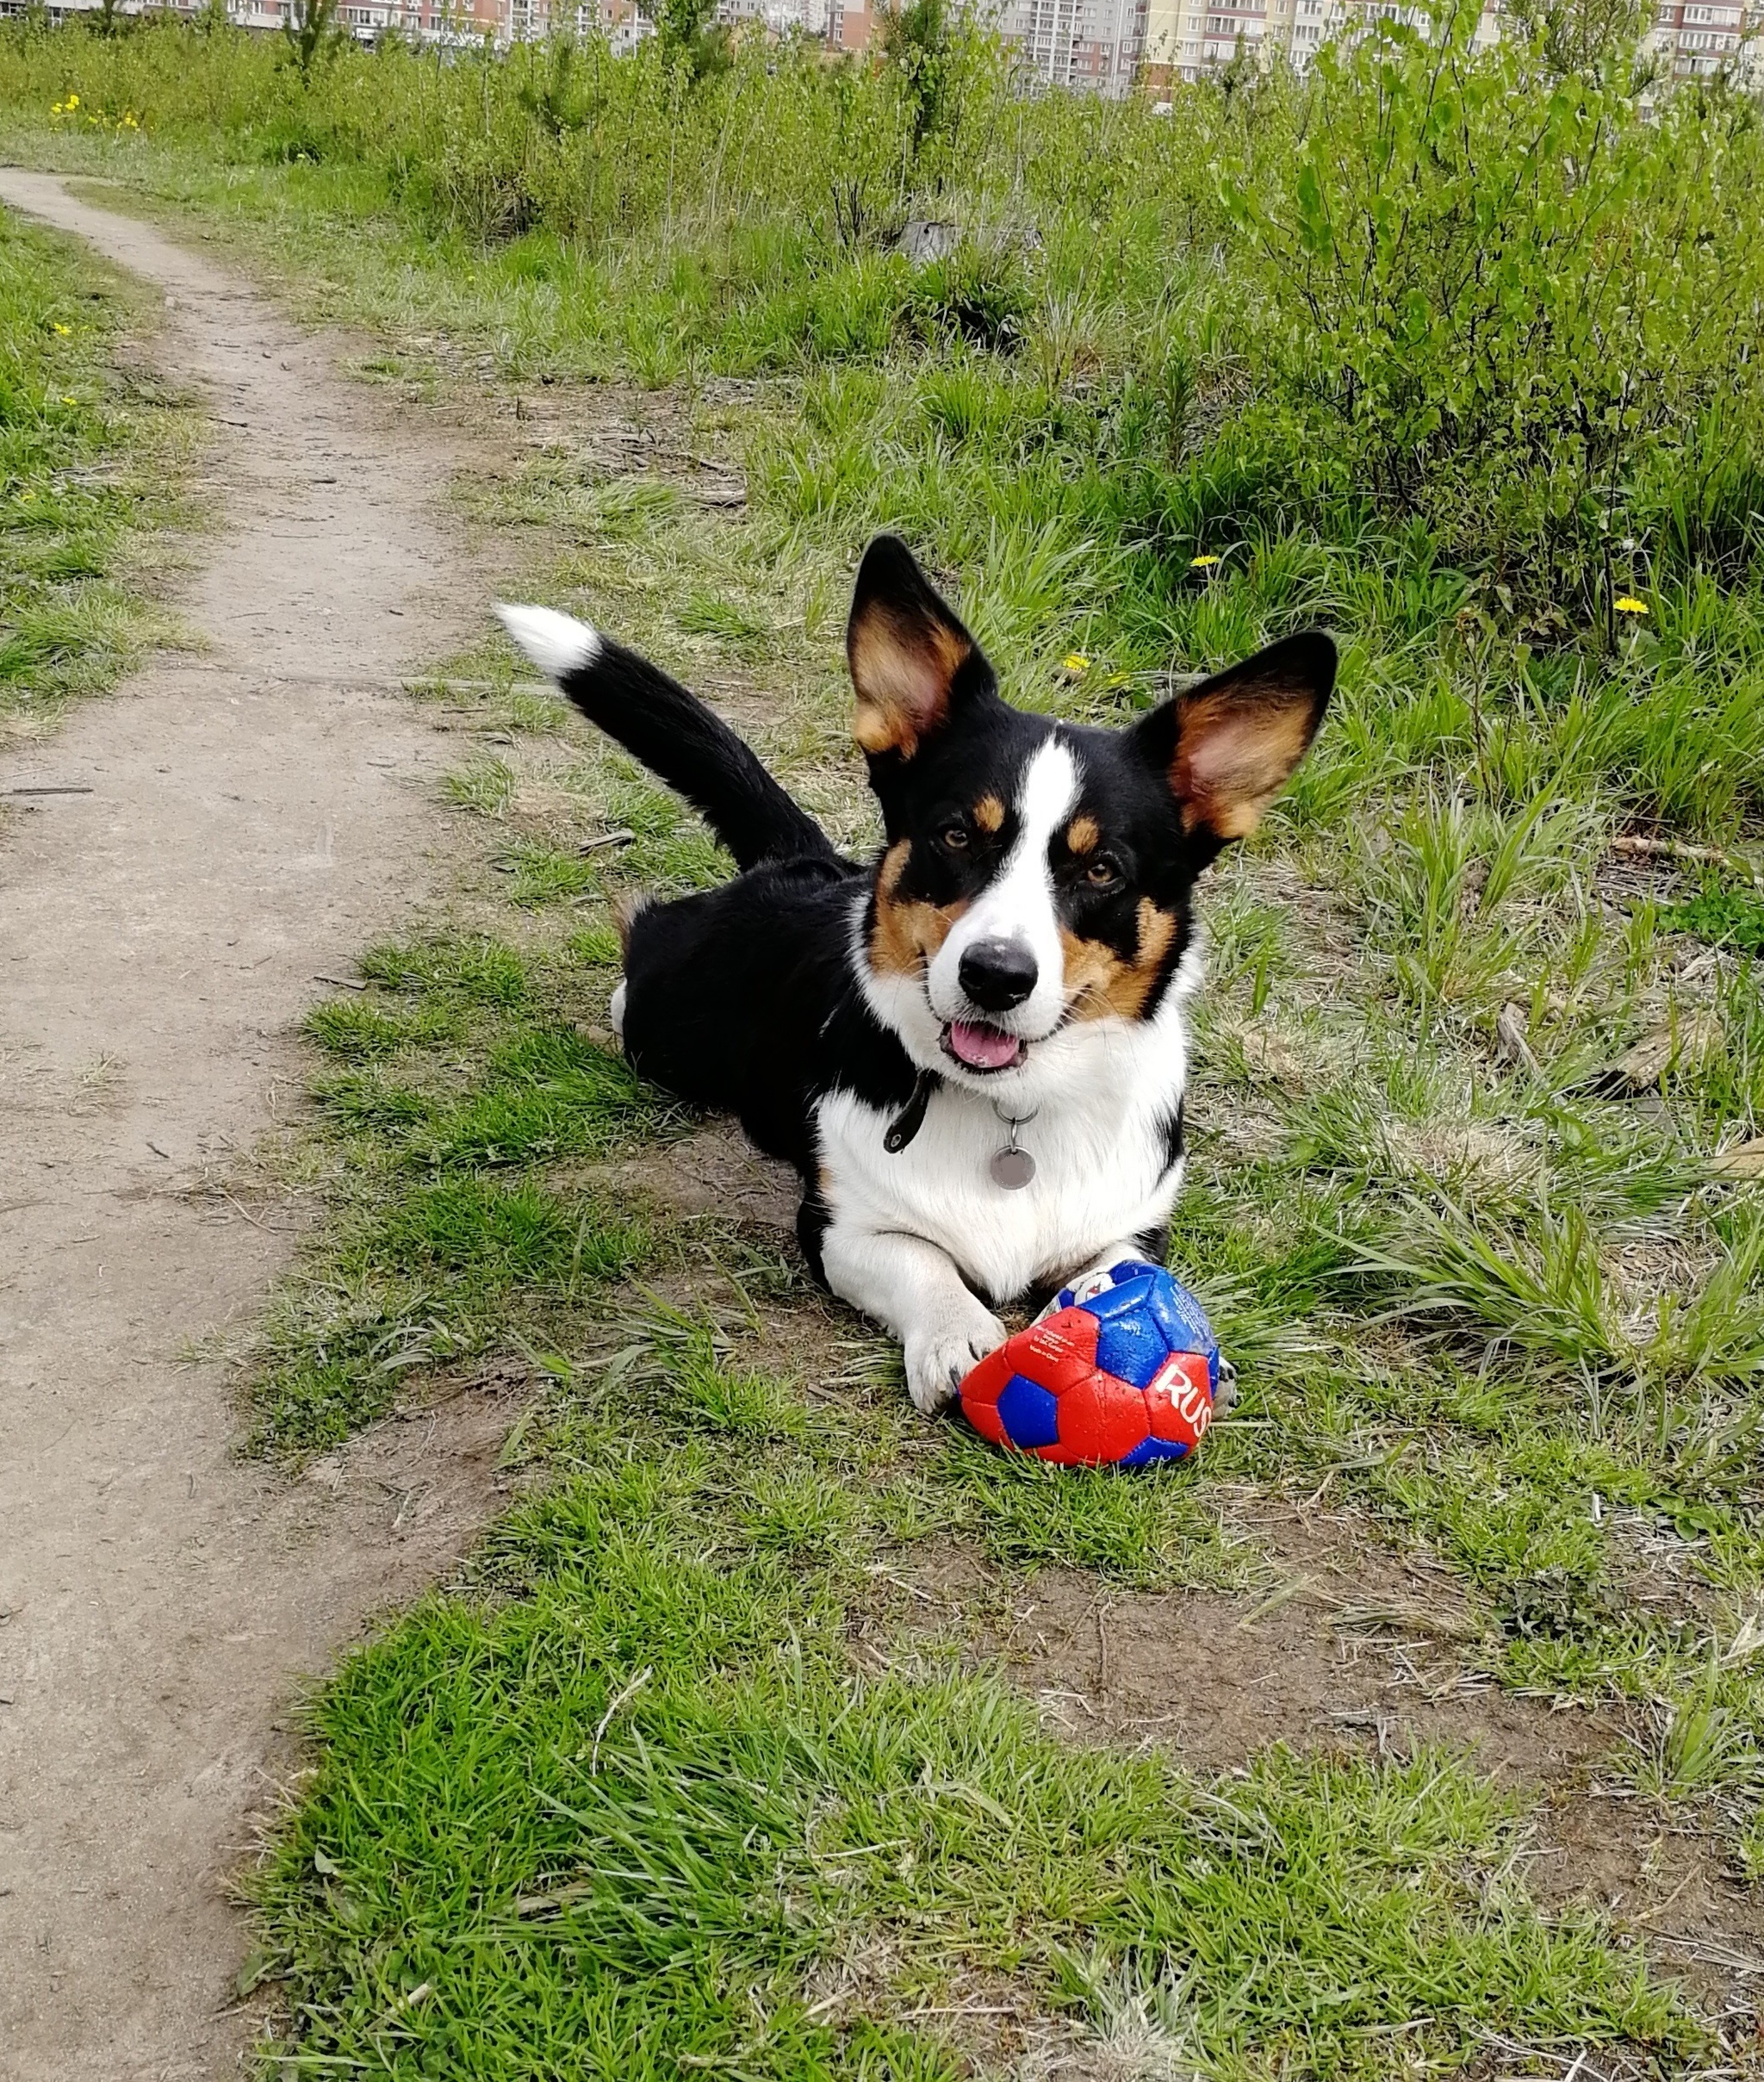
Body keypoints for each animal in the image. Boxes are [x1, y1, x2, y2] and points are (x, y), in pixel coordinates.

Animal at [495, 537, 1341, 1415]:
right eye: (957, 835)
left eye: (1103, 868)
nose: (995, 976)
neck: (1013, 1113)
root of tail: (808, 861)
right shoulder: (840, 1226)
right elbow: (921, 1259)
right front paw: (956, 1334)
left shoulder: (1133, 1222)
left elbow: (1119, 1274)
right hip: (668, 1024)